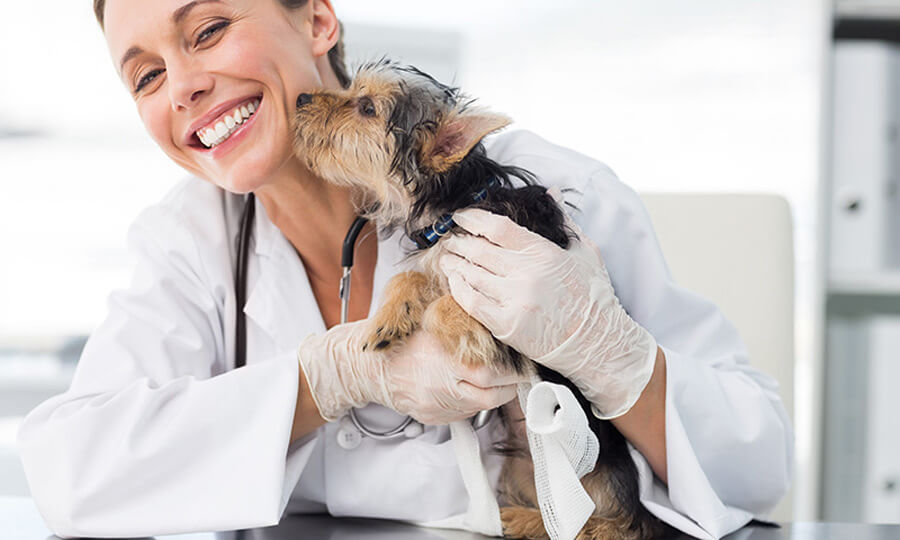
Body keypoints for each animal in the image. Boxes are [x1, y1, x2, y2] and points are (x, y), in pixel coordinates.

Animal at [292, 59, 672, 540]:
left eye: (366, 107)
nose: (301, 98)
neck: (453, 206)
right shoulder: (436, 259)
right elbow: (413, 278)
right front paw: (388, 318)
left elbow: (445, 307)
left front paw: (464, 332)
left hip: (597, 480)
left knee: (602, 525)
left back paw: (525, 518)